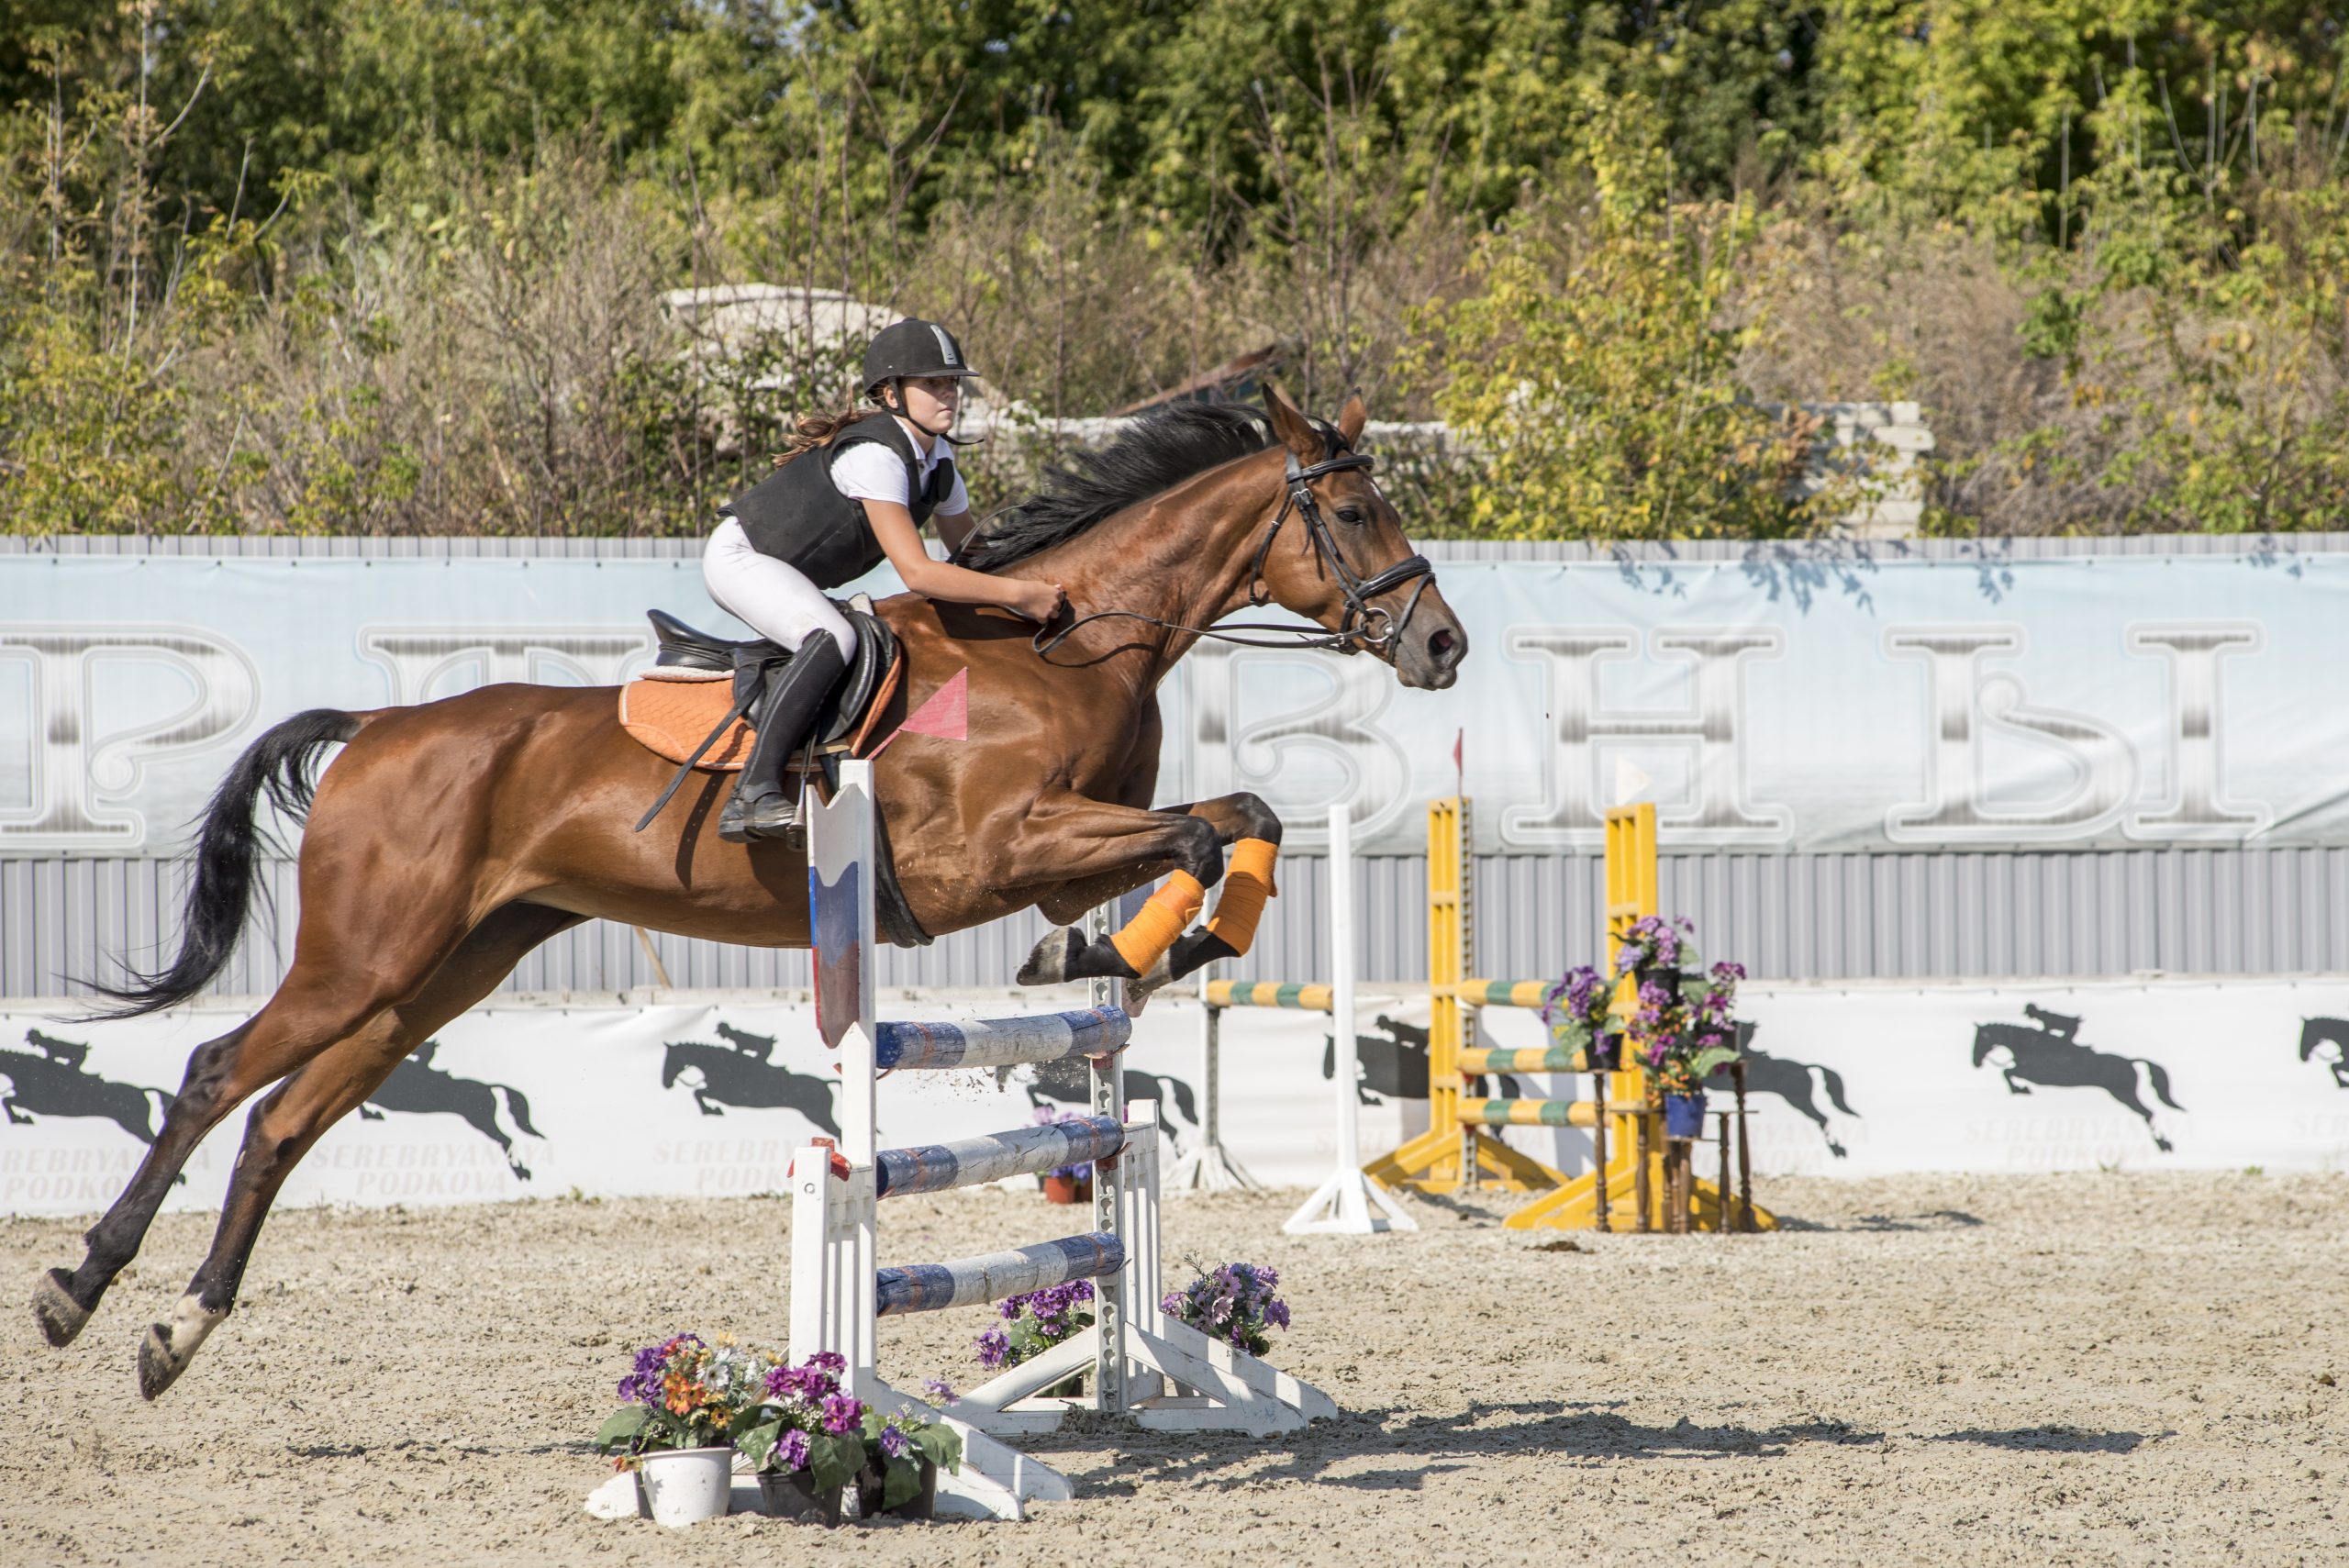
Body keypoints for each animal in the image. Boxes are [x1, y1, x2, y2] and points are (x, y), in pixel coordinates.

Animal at [31, 389, 1467, 1399]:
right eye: (1352, 517)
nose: (1443, 644)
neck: (1063, 641)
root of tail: (379, 728)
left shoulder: (1068, 857)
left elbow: (1230, 825)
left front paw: (1116, 961)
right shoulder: (992, 851)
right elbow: (1209, 831)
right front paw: (1142, 952)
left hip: (445, 970)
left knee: (283, 1121)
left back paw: (176, 1329)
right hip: (366, 955)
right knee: (217, 1072)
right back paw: (78, 1289)